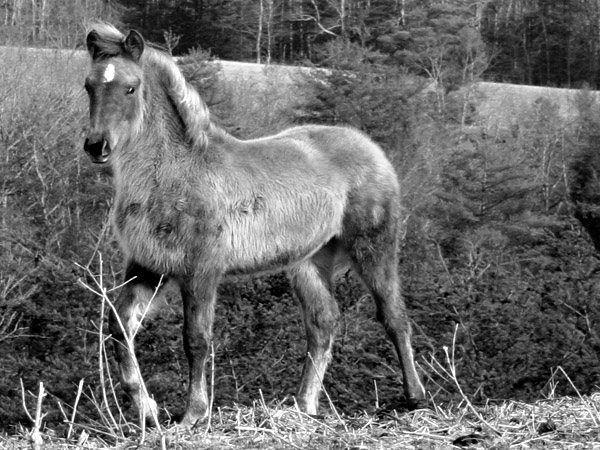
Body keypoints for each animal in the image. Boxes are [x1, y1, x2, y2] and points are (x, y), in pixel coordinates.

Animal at [82, 23, 426, 426]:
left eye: (130, 87)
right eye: (89, 85)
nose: (97, 146)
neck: (173, 173)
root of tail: (372, 149)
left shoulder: (201, 270)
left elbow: (196, 339)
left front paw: (193, 414)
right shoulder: (148, 266)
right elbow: (119, 329)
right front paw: (146, 409)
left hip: (372, 247)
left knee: (394, 315)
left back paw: (415, 397)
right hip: (309, 261)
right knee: (323, 322)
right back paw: (304, 406)